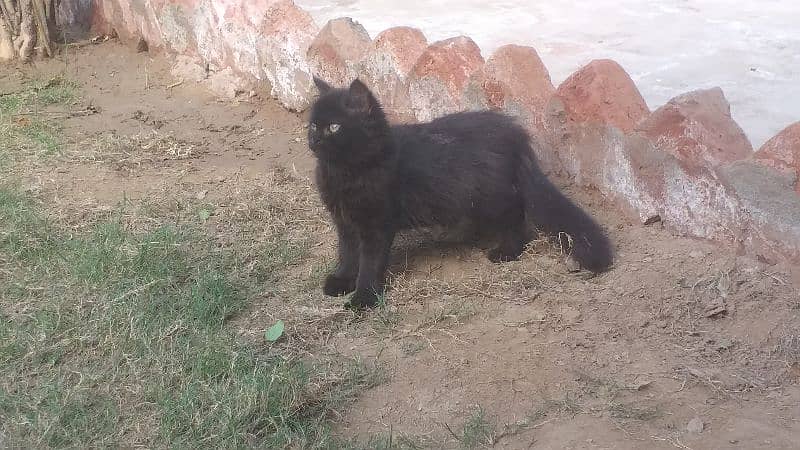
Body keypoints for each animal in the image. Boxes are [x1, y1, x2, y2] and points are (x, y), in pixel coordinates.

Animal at [306, 78, 612, 310]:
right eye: (312, 125)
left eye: (334, 127)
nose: (314, 139)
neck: (345, 173)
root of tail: (515, 134)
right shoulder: (345, 223)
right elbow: (347, 253)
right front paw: (342, 281)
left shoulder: (376, 225)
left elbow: (369, 263)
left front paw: (363, 298)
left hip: (492, 198)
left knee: (517, 219)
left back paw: (506, 252)